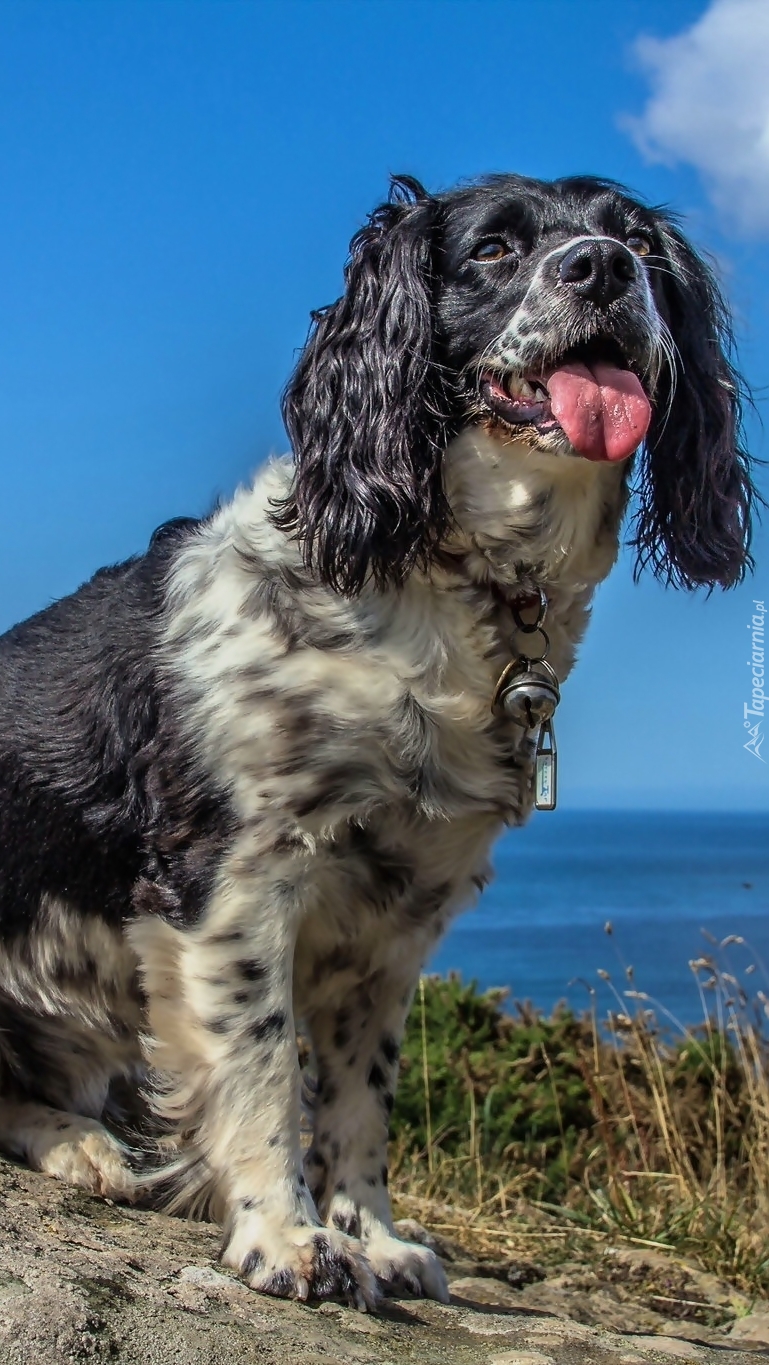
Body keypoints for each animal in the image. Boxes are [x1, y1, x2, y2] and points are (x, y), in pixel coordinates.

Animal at [0, 176, 753, 1304]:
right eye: (491, 249)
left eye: (637, 245)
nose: (602, 269)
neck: (439, 580)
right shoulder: (235, 879)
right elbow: (264, 1072)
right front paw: (286, 1238)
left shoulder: (398, 919)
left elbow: (360, 1098)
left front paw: (373, 1235)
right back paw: (80, 1144)